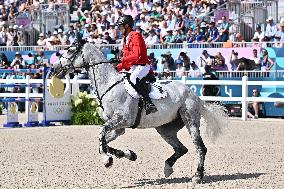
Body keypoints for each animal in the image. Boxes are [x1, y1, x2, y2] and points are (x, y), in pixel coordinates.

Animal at [52, 39, 227, 183]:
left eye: (70, 50)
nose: (54, 68)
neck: (109, 84)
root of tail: (195, 95)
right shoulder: (118, 128)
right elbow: (103, 142)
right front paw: (129, 154)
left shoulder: (121, 120)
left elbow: (101, 134)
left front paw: (107, 160)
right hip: (165, 129)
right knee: (181, 149)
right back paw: (168, 168)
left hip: (190, 121)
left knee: (200, 147)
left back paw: (197, 176)